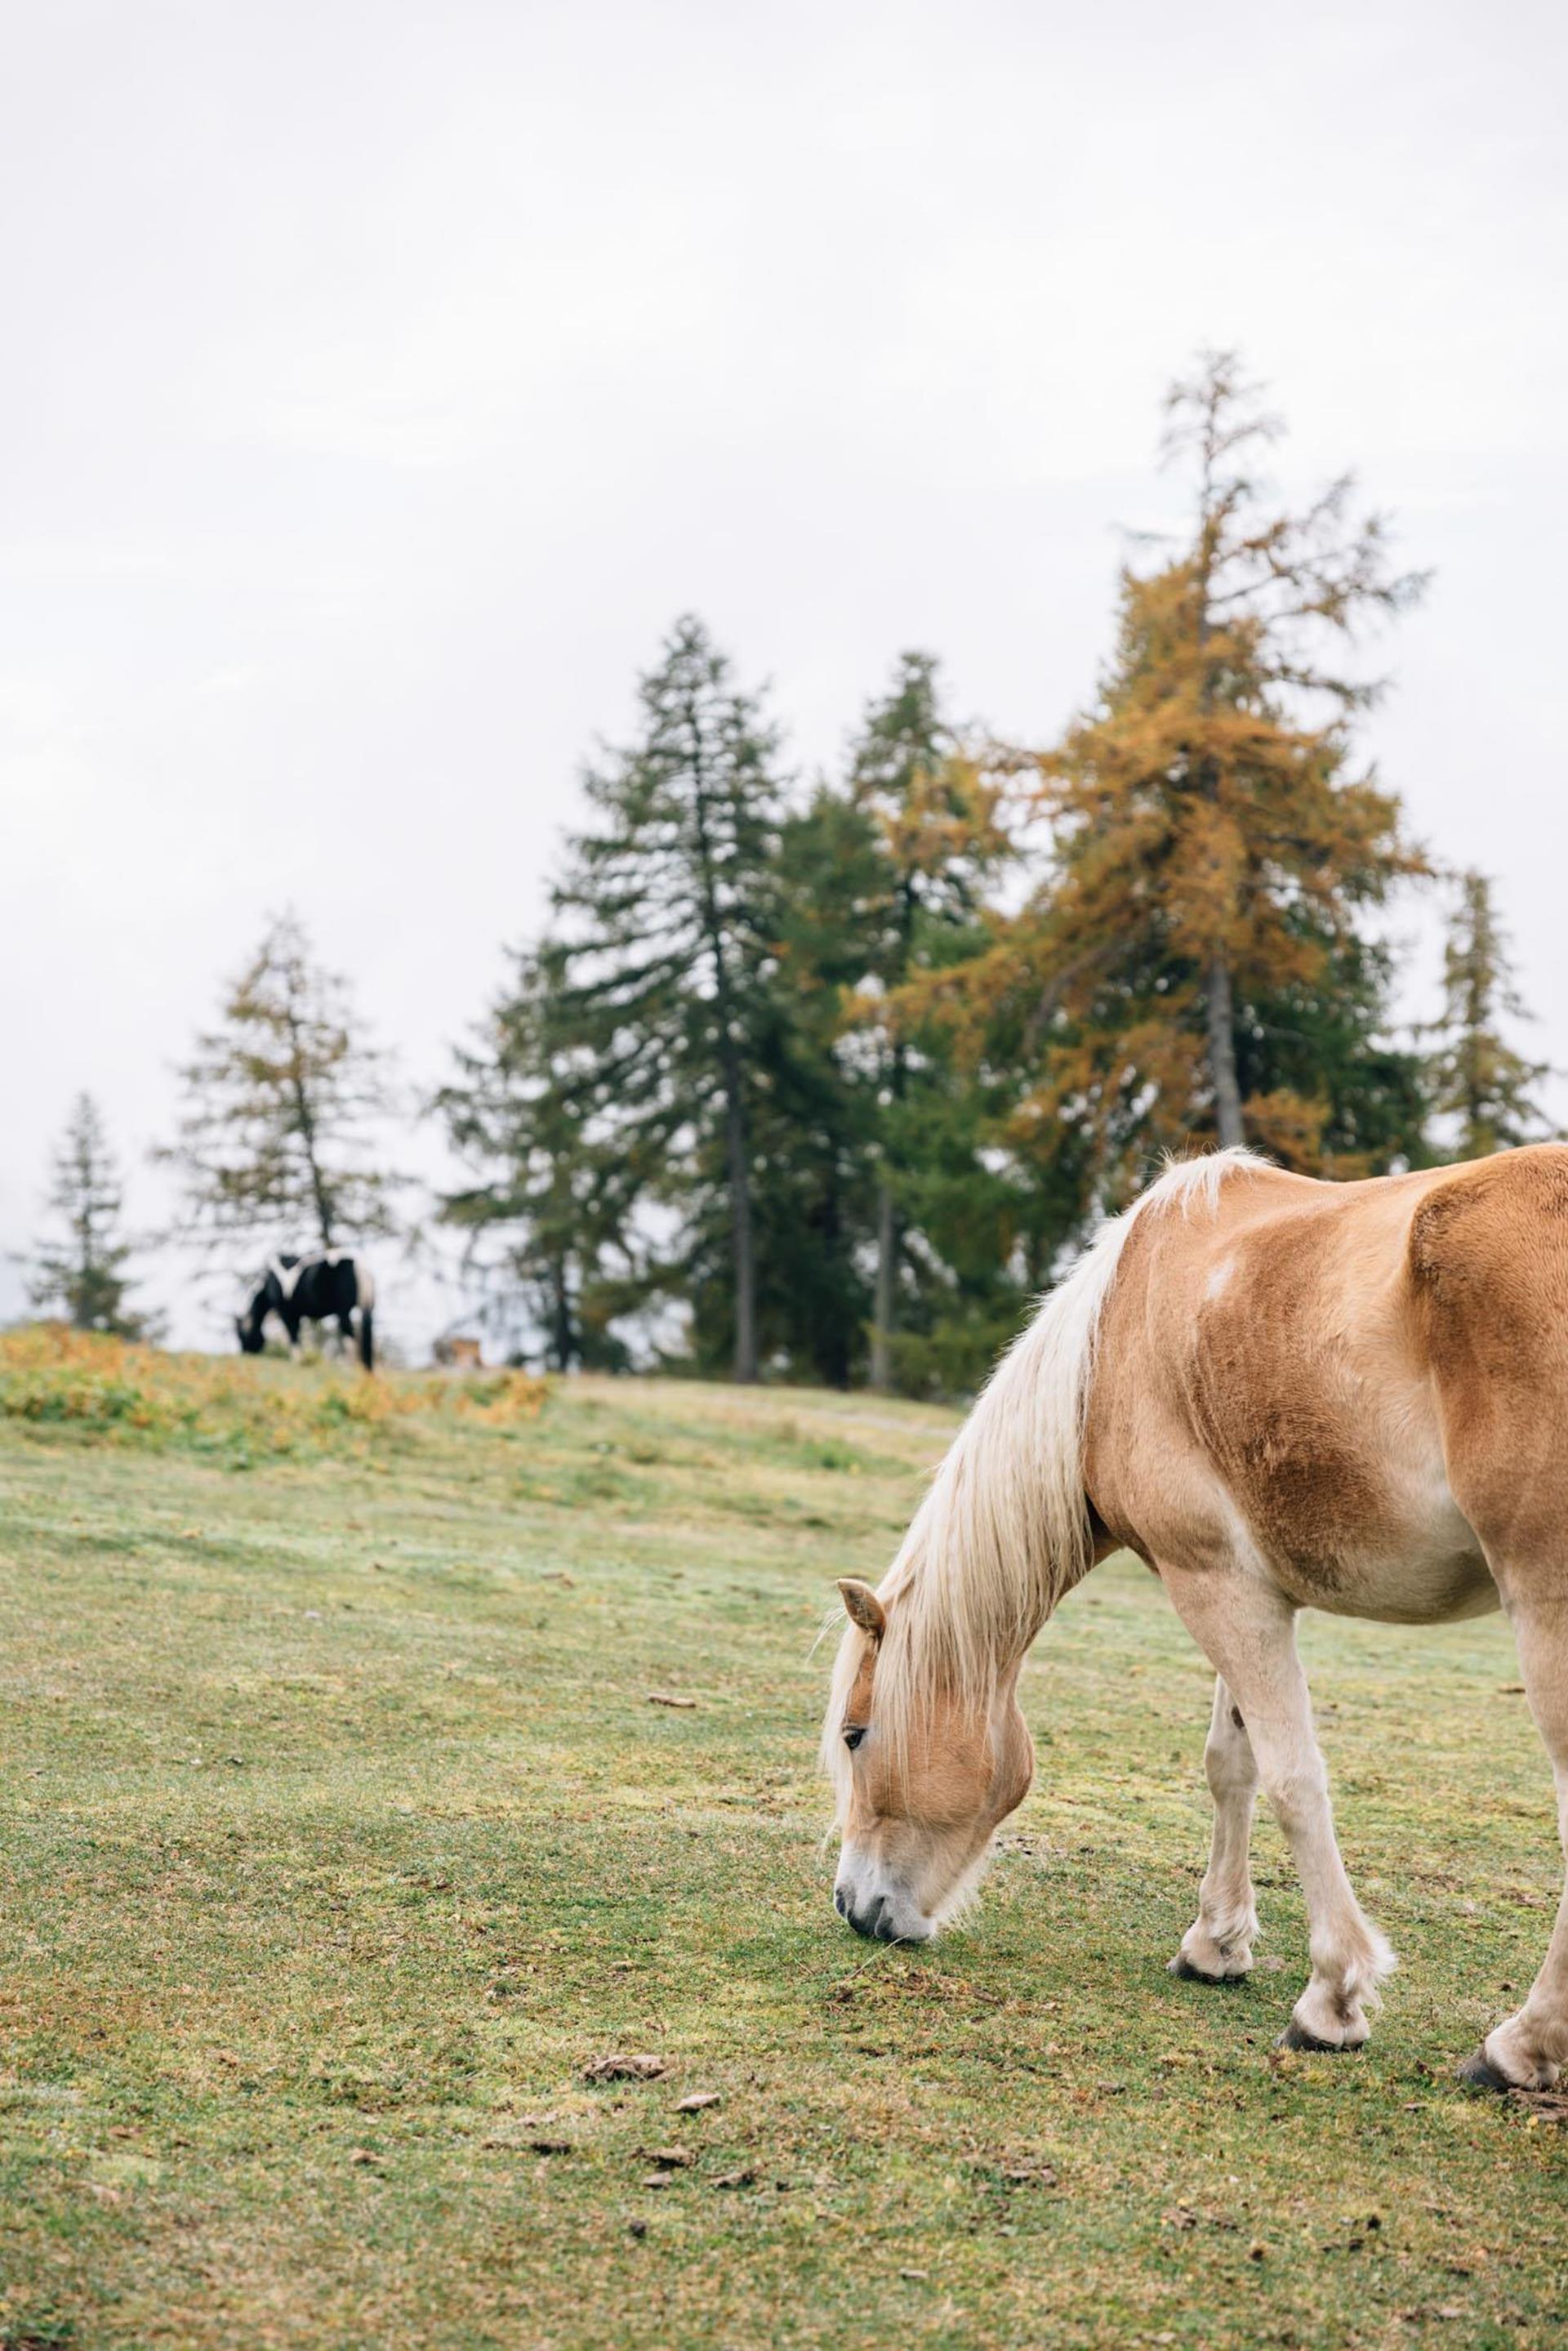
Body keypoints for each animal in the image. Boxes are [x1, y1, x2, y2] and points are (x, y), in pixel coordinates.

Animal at [236, 1260, 376, 1372]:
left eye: (243, 1336)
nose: (244, 1353)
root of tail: (362, 1268)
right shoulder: (296, 1314)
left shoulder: (286, 1313)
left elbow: (293, 1335)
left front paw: (298, 1362)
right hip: (366, 1308)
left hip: (343, 1310)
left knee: (351, 1337)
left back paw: (349, 1368)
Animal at [822, 1147, 1568, 2087]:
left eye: (856, 1736)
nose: (854, 1907)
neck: (1109, 1347)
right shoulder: (1239, 1583)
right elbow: (1231, 1765)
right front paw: (1215, 1946)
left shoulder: (1212, 1583)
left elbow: (1291, 1780)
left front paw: (1331, 2000)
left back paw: (1520, 2045)